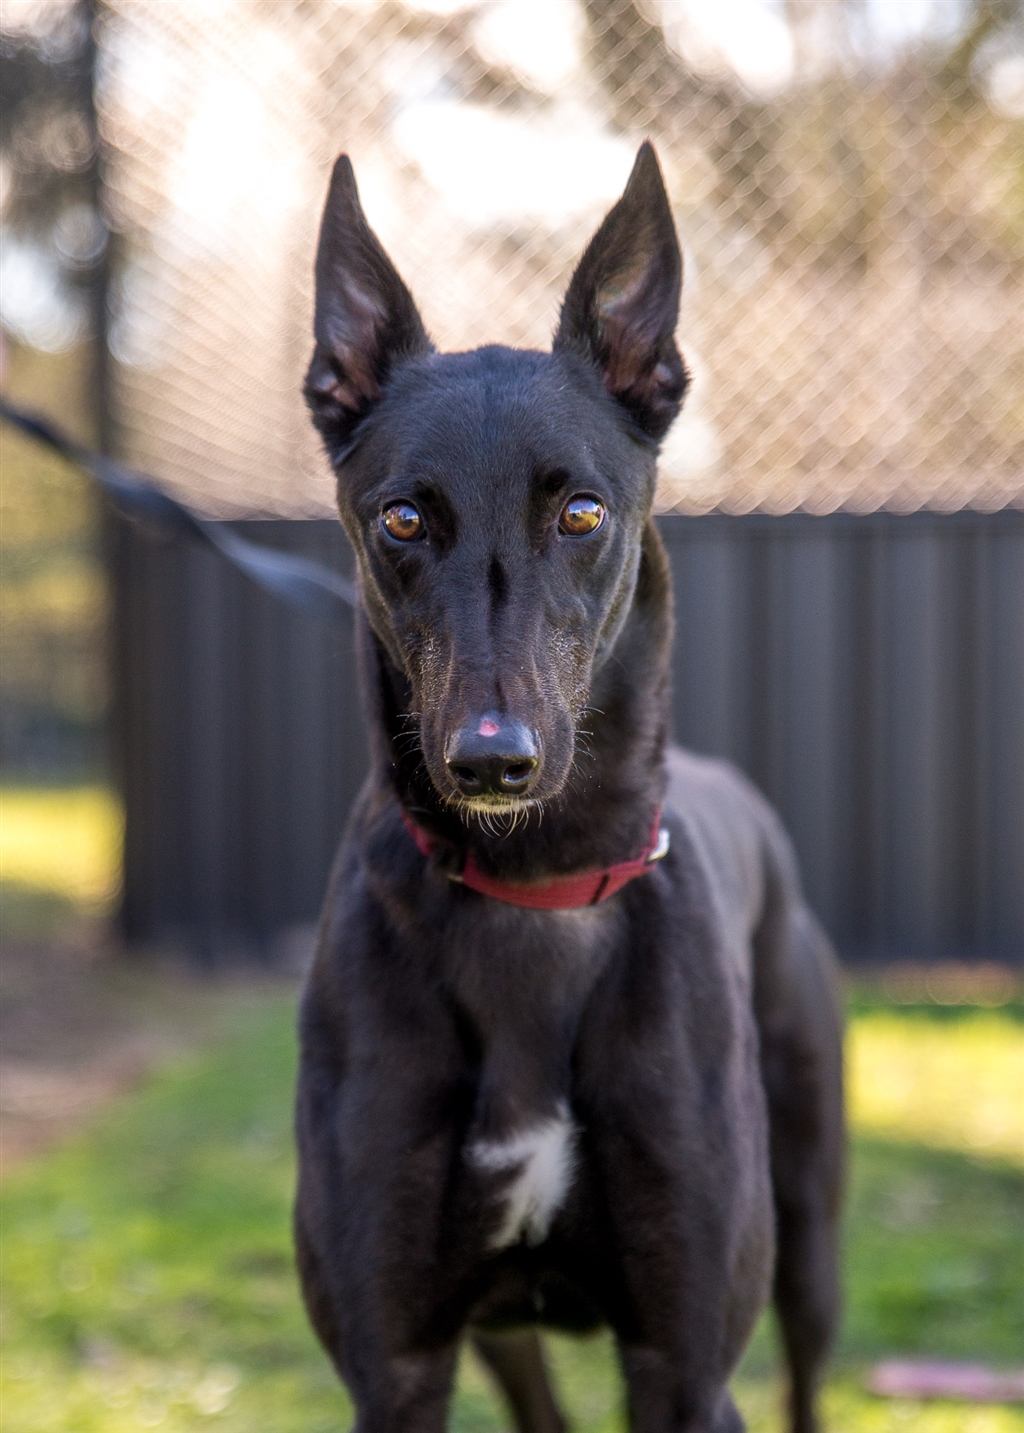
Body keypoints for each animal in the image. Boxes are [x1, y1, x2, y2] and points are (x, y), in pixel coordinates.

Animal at [295, 136, 842, 1433]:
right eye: (403, 516)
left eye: (582, 509)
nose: (493, 760)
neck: (533, 891)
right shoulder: (398, 1361)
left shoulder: (684, 1367)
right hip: (498, 1334)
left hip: (808, 1231)